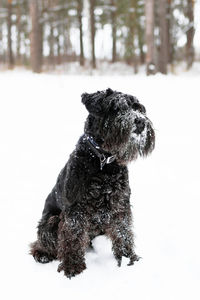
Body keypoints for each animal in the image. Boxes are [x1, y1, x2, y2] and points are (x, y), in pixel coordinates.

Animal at [30, 88, 155, 278]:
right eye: (116, 108)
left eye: (138, 108)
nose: (140, 122)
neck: (104, 162)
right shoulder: (76, 209)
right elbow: (73, 236)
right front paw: (72, 267)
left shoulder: (120, 206)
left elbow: (123, 231)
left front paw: (128, 258)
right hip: (51, 221)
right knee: (41, 242)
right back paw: (42, 254)